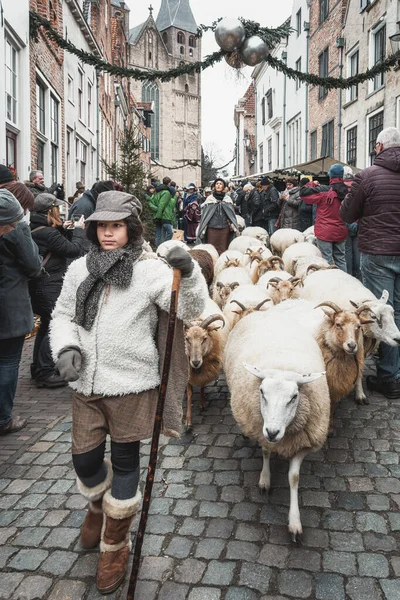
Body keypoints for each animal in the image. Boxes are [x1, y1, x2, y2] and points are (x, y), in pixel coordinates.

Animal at [184, 298, 228, 426]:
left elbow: (203, 384)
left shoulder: (206, 369)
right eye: (187, 338)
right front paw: (188, 421)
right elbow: (189, 393)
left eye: (204, 338)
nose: (195, 362)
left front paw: (202, 403)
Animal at [223, 310, 330, 540]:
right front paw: (265, 479)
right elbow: (265, 452)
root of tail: (263, 312)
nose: (273, 431)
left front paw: (295, 522)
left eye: (294, 397)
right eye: (262, 392)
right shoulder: (260, 429)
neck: (283, 365)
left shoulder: (303, 444)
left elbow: (294, 477)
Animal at [300, 270, 400, 404]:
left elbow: (359, 369)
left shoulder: (360, 348)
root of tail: (322, 269)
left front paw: (360, 393)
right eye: (374, 317)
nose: (397, 339)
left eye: (393, 313)